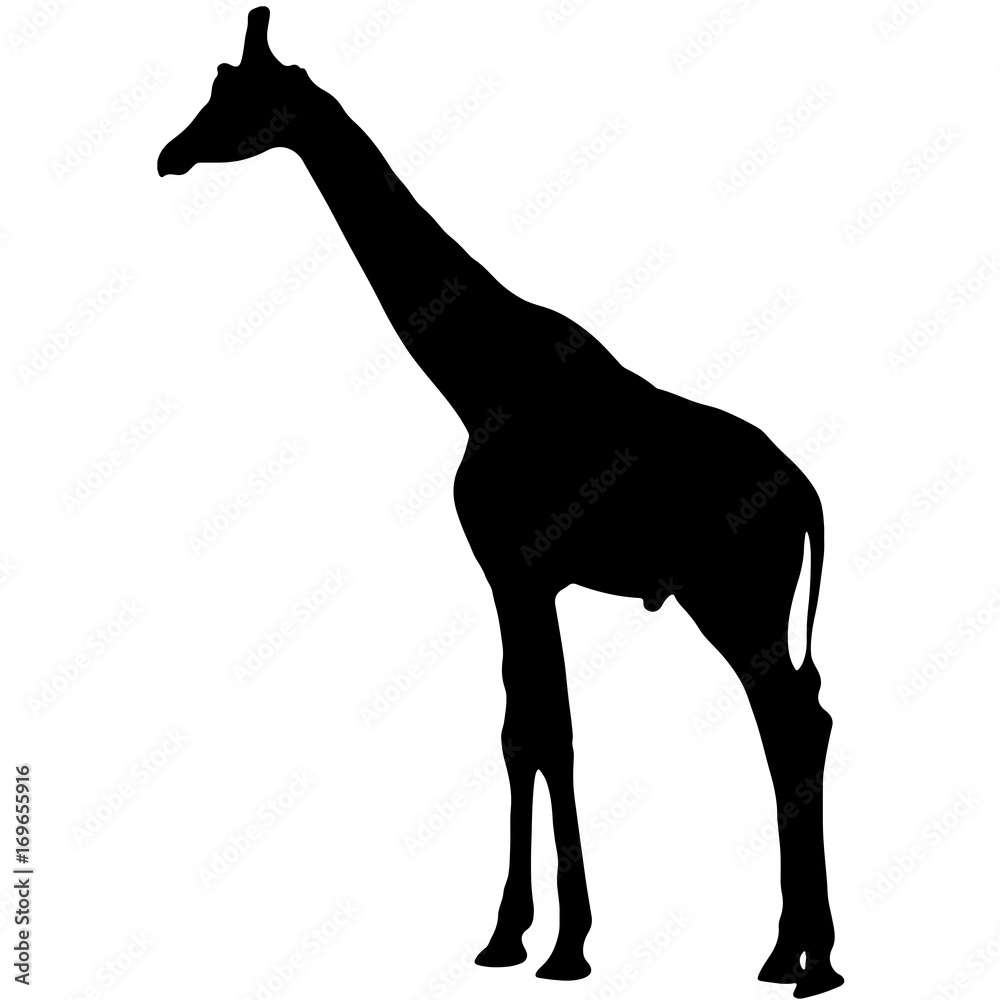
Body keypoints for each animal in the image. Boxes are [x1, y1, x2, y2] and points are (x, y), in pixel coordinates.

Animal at [158, 9, 844, 996]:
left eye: (237, 94)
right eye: (213, 86)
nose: (169, 155)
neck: (476, 379)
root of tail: (809, 498)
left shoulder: (519, 570)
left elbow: (547, 734)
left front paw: (562, 946)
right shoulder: (518, 577)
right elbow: (525, 731)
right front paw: (511, 937)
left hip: (737, 599)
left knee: (794, 724)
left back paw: (810, 960)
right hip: (734, 605)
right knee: (797, 723)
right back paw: (790, 952)